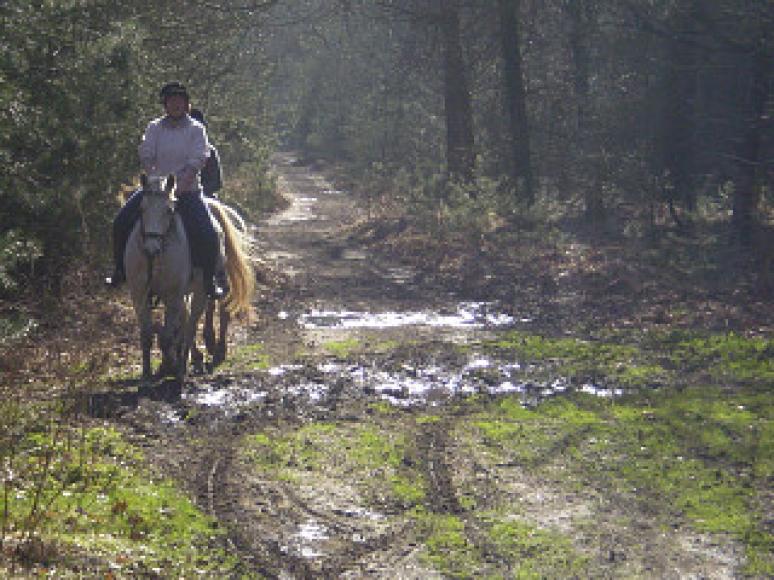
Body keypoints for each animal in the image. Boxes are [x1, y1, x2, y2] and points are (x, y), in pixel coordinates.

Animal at [123, 174, 253, 382]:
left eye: (169, 210)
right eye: (141, 209)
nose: (151, 248)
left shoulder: (173, 295)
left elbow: (168, 335)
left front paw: (173, 365)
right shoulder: (140, 295)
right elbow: (148, 335)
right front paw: (148, 372)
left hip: (208, 286)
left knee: (207, 316)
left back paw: (210, 352)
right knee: (190, 320)